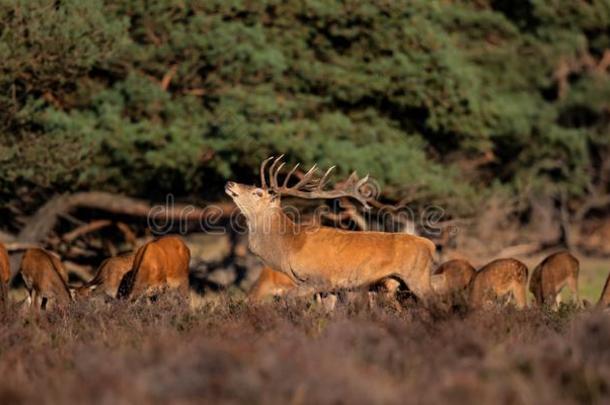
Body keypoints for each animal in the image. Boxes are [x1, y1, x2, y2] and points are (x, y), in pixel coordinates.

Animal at [226, 155, 434, 300]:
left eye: (257, 192)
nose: (230, 182)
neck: (290, 247)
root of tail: (430, 245)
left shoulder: (319, 280)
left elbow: (288, 299)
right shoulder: (330, 288)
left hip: (418, 277)